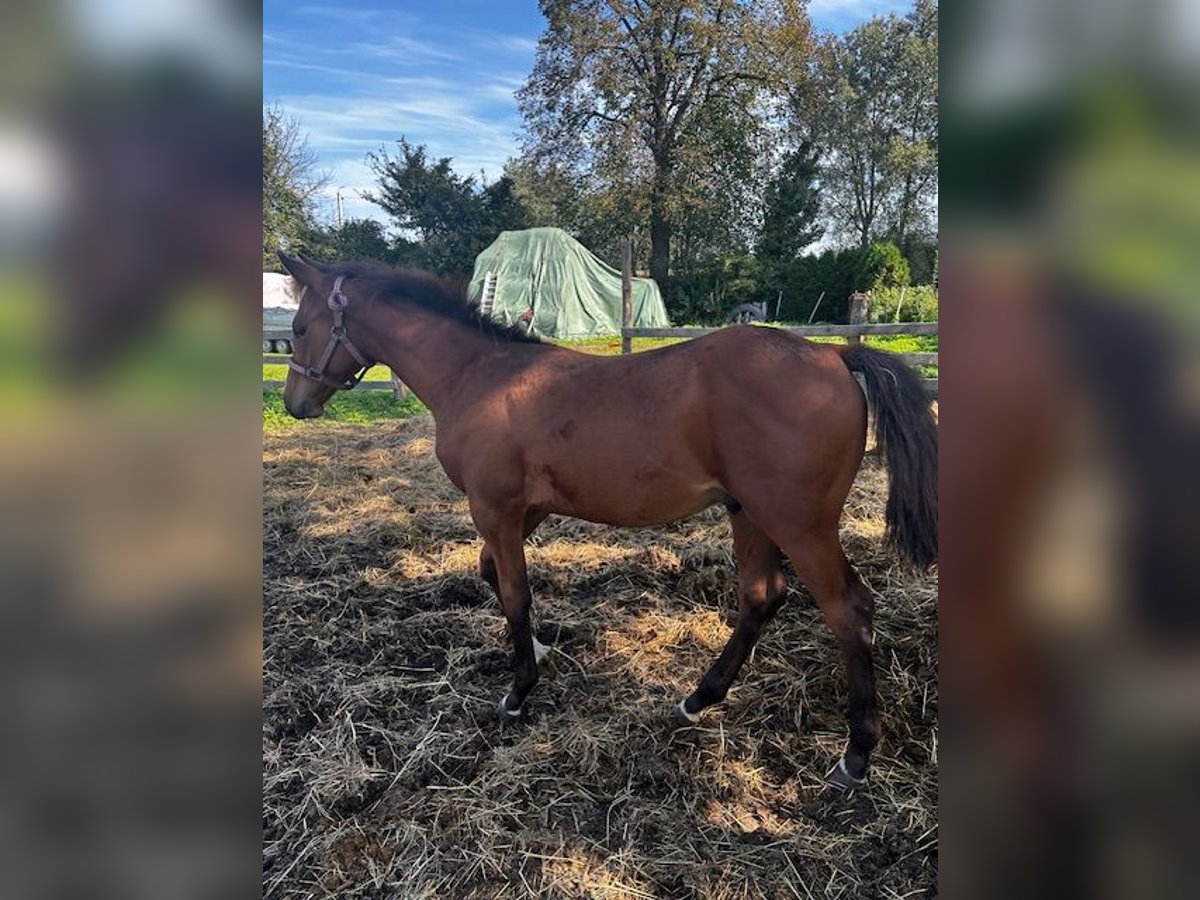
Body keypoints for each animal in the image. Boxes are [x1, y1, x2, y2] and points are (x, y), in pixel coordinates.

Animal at [278, 254, 936, 787]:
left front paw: (518, 691)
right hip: (749, 514)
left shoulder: (494, 507)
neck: (481, 373)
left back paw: (855, 754)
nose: (295, 404)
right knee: (762, 595)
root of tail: (833, 353)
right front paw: (540, 650)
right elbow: (493, 574)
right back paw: (700, 698)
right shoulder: (525, 511)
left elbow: (513, 592)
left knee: (848, 610)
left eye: (299, 328)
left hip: (799, 524)